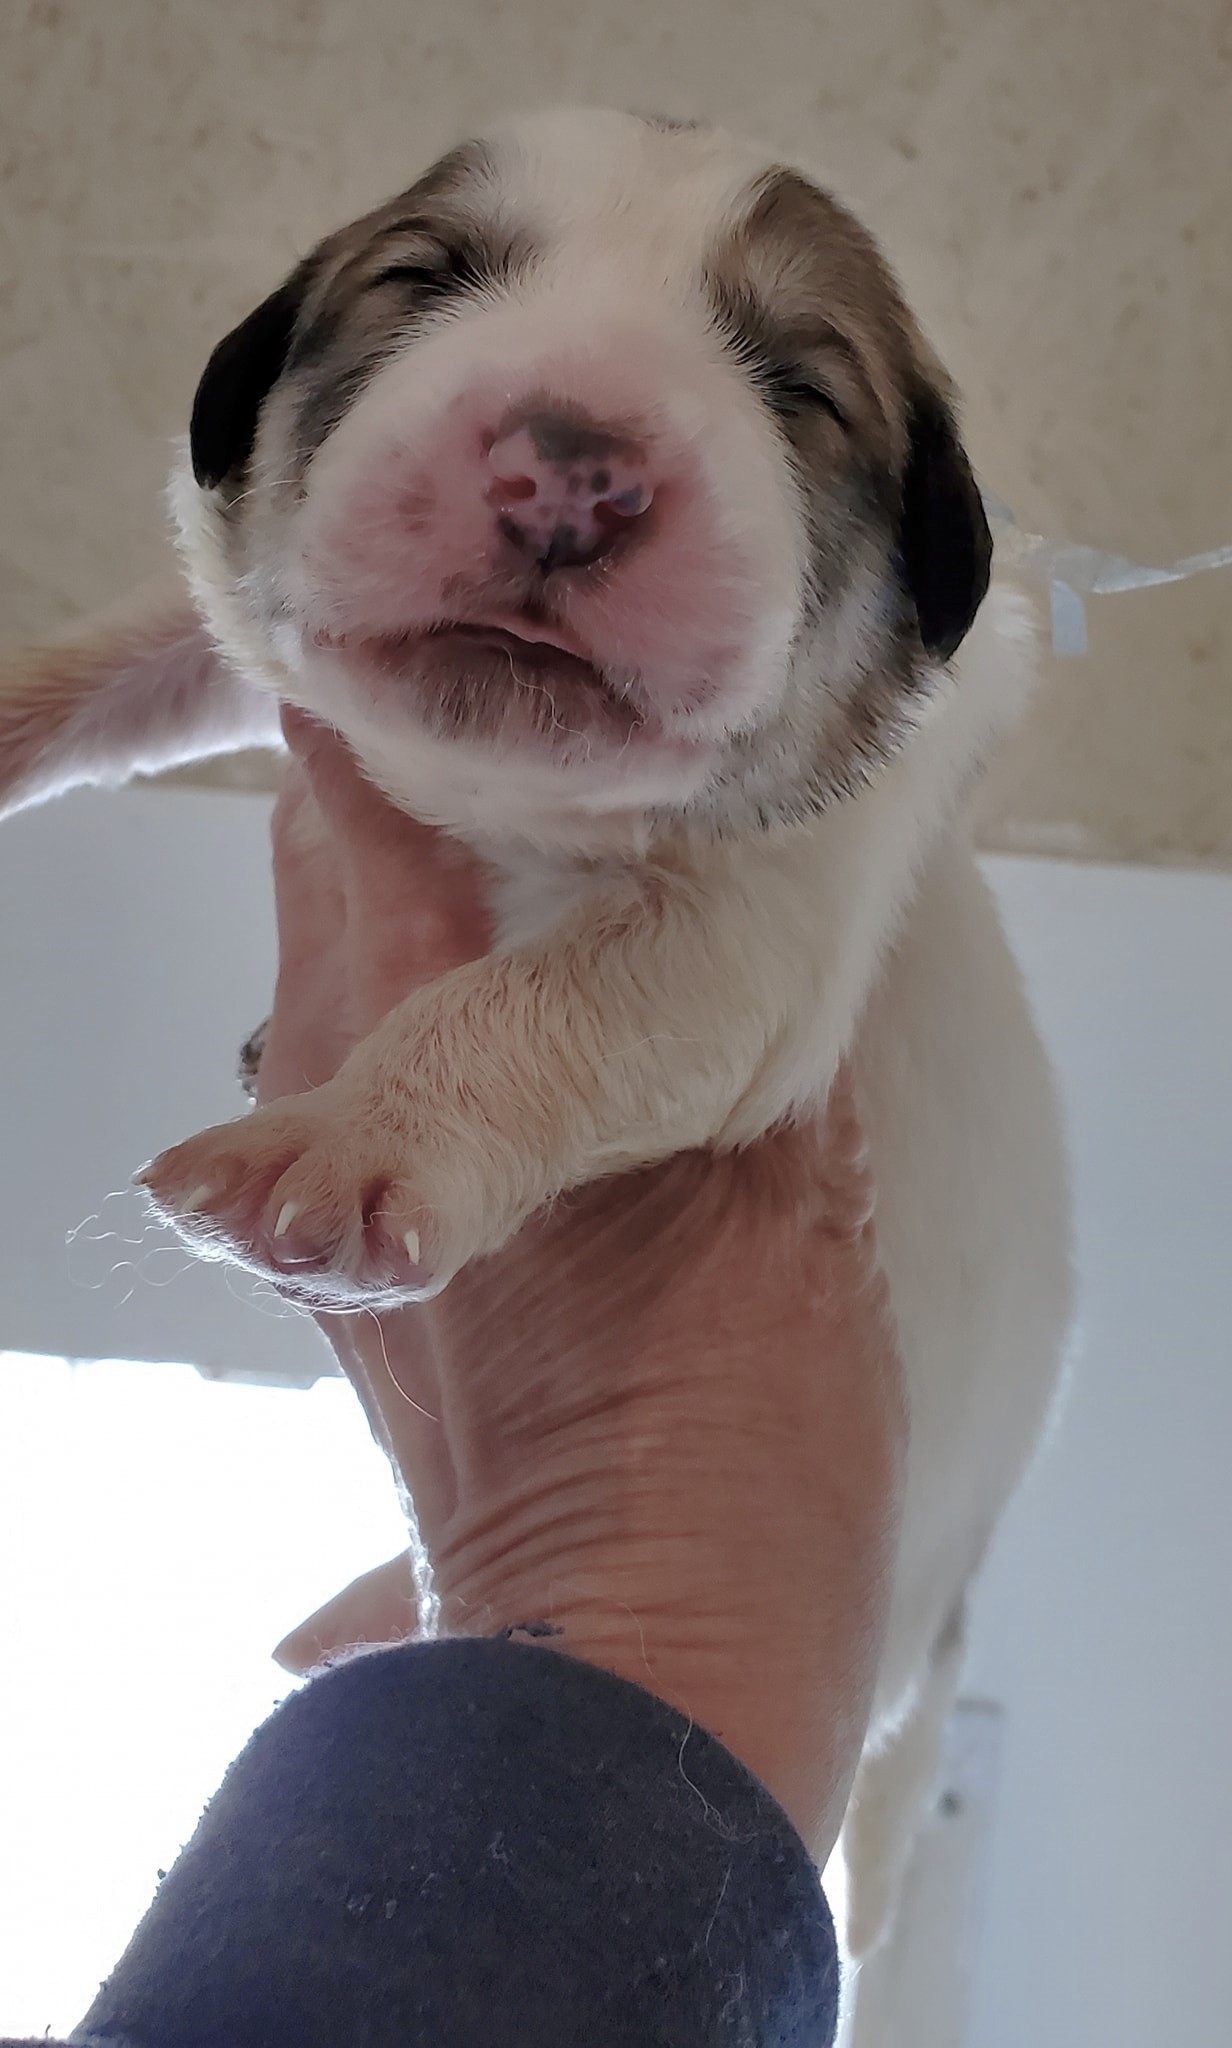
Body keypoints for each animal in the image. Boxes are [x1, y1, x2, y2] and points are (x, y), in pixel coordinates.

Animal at [0, 107, 1071, 1959]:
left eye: (800, 385)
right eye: (426, 275)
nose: (571, 464)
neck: (502, 794)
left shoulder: (756, 927)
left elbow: (537, 998)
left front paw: (345, 1139)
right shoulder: (260, 632)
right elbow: (134, 653)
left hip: (917, 1646)